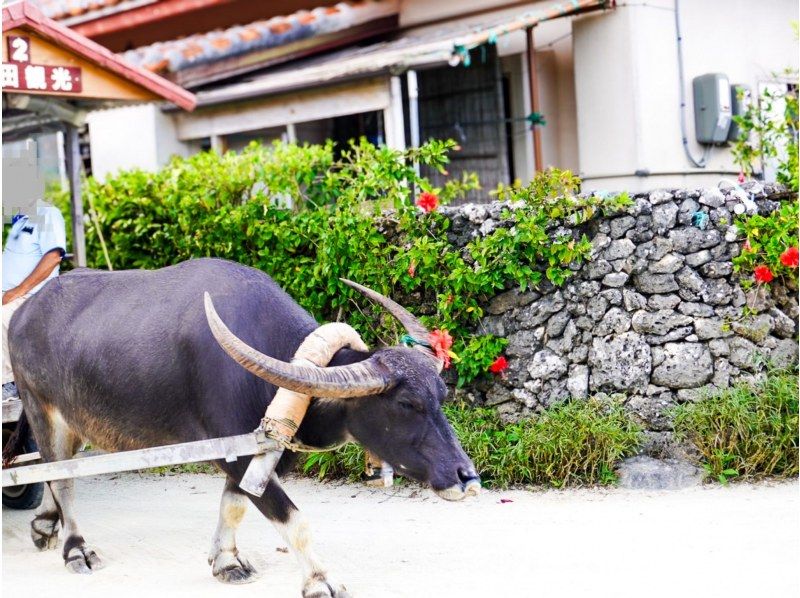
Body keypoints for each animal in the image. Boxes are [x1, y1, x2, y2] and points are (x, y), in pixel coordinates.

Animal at [6, 258, 478, 598]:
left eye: (442, 394)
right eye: (406, 404)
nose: (467, 478)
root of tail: (24, 312)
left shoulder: (260, 454)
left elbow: (234, 506)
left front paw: (226, 561)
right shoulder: (232, 451)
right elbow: (292, 519)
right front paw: (320, 581)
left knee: (52, 473)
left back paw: (44, 525)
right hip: (41, 408)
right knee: (61, 478)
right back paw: (76, 549)